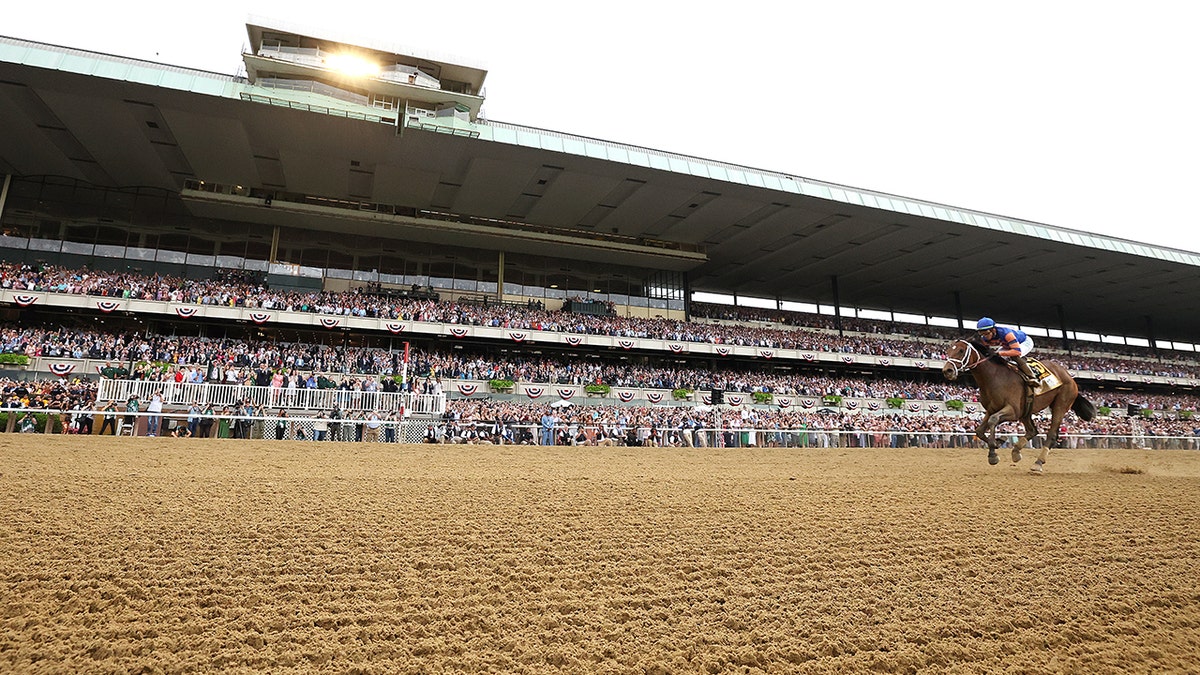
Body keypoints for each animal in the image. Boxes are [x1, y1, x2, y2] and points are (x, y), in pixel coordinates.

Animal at [936, 338, 1099, 470]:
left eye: (961, 350)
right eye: (948, 351)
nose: (947, 371)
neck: (994, 377)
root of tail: (1069, 377)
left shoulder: (1013, 410)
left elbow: (993, 421)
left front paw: (993, 454)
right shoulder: (991, 409)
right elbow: (979, 431)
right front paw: (998, 442)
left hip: (1060, 404)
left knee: (1052, 434)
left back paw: (1038, 463)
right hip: (1027, 410)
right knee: (1033, 431)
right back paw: (1016, 452)